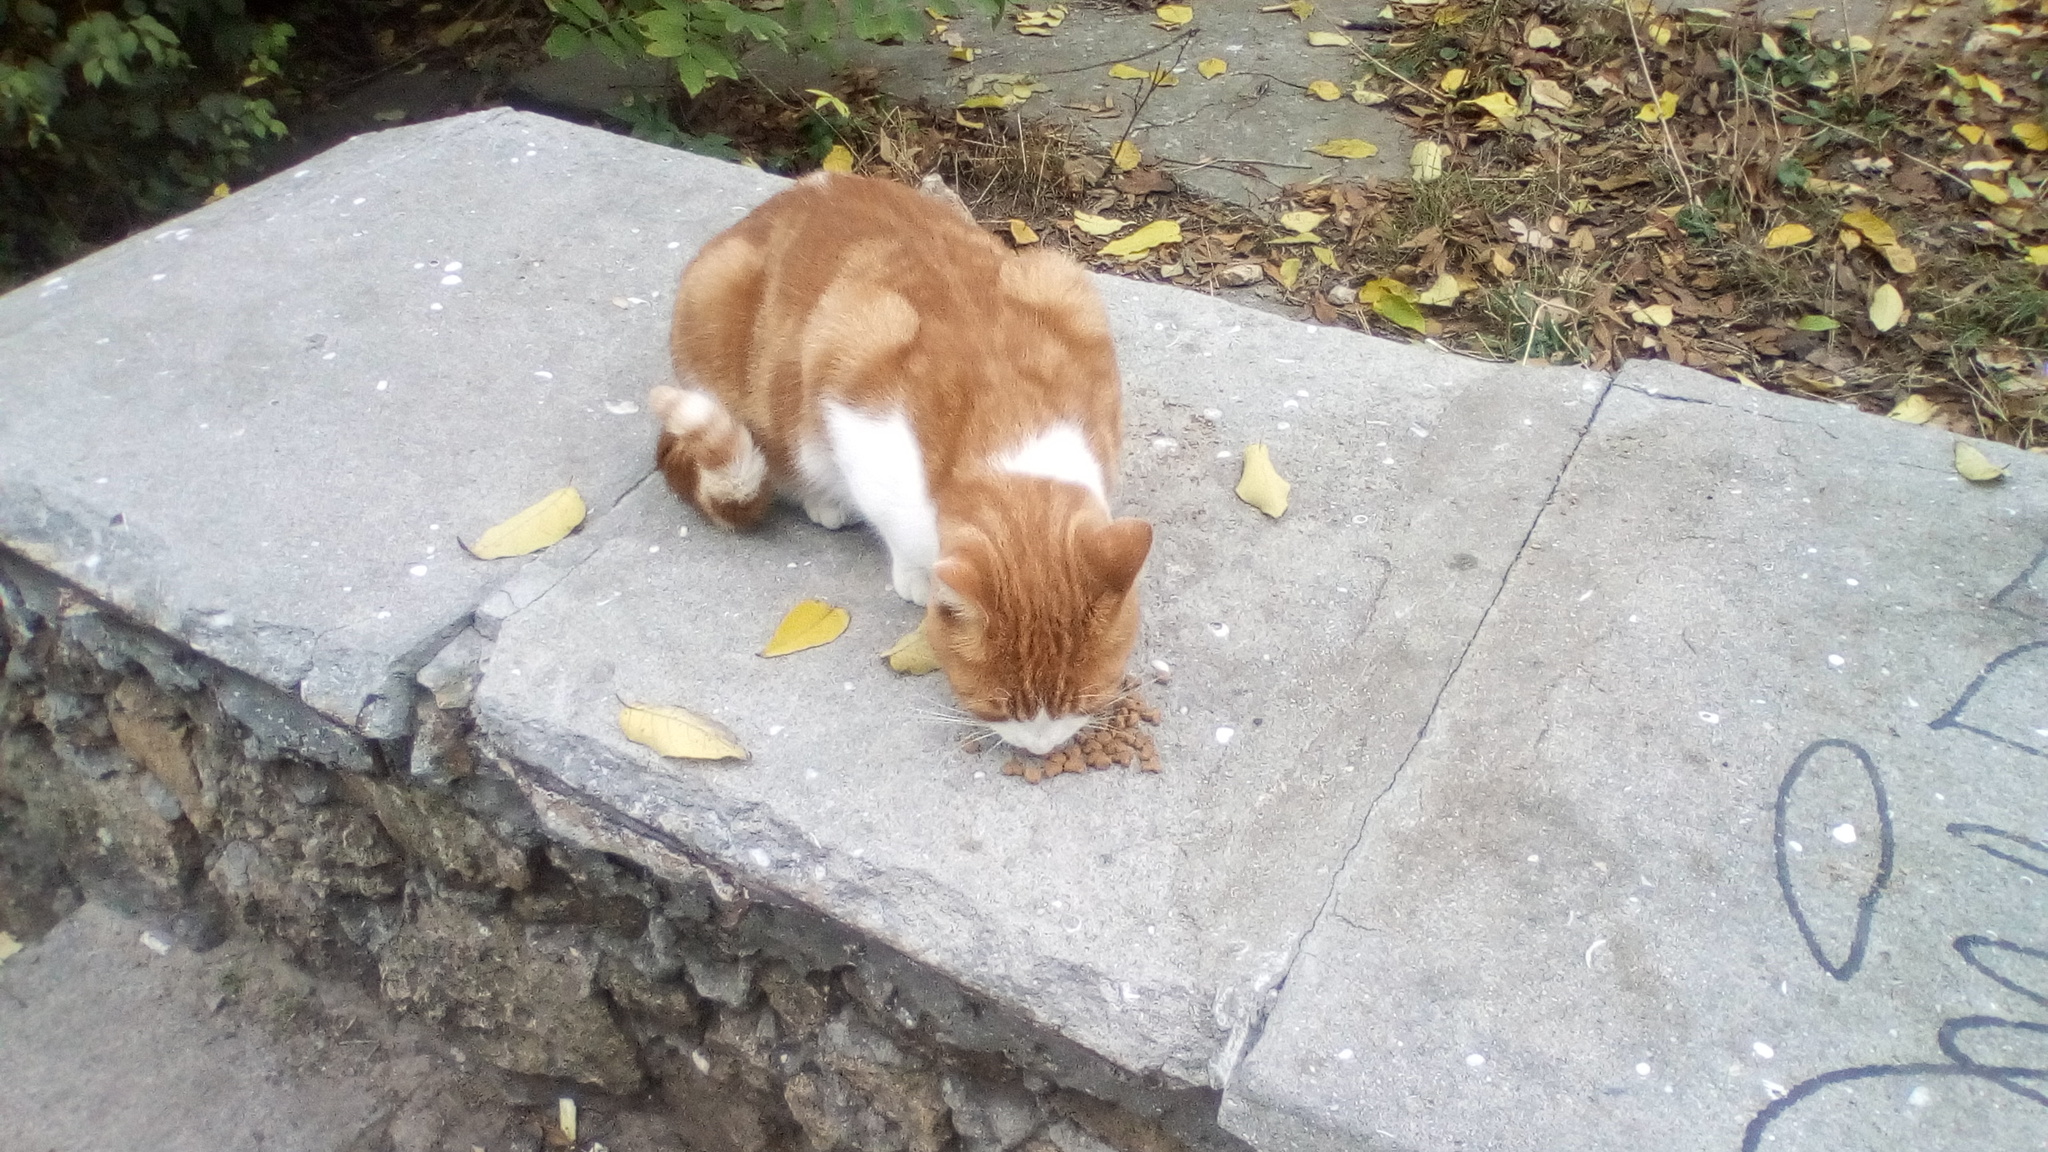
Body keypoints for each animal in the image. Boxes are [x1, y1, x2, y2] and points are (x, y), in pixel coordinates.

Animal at [647, 166, 1146, 750]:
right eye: (999, 707)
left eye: (1085, 701)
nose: (1042, 748)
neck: (1011, 429)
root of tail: (802, 187)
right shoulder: (855, 401)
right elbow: (896, 525)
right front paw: (917, 576)